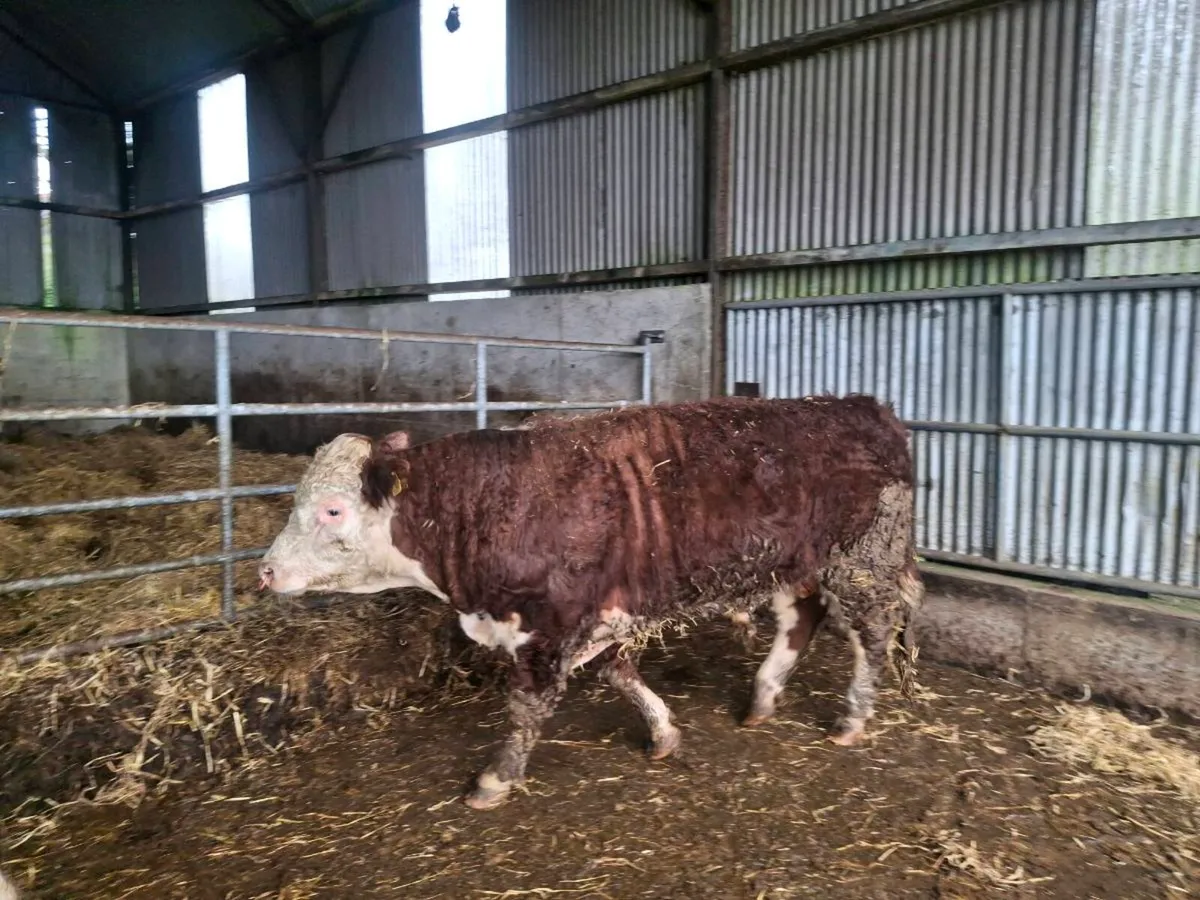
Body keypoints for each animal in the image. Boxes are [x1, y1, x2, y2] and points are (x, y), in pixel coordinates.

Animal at [258, 395, 924, 810]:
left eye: (333, 510)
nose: (265, 570)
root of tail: (861, 406)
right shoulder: (592, 613)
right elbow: (617, 672)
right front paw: (663, 732)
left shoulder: (550, 624)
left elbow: (529, 705)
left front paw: (495, 779)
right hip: (797, 563)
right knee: (801, 617)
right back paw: (762, 696)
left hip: (863, 560)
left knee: (872, 633)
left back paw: (853, 717)